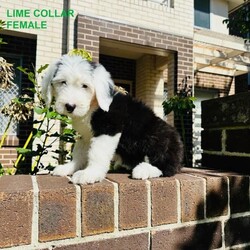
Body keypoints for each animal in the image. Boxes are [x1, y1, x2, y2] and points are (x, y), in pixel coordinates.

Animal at [40, 54, 182, 184]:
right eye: (63, 82)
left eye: (85, 86)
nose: (70, 106)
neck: (93, 105)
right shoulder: (87, 135)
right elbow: (80, 152)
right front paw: (69, 168)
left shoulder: (108, 128)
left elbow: (97, 152)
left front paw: (90, 173)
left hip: (157, 135)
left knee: (166, 166)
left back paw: (143, 169)